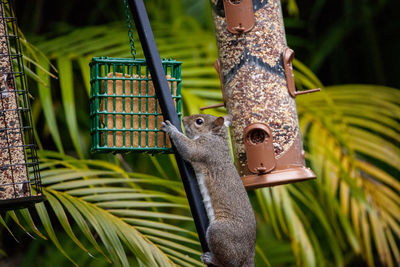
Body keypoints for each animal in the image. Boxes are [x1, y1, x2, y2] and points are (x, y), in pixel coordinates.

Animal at [162, 114, 256, 267]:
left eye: (199, 121)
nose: (183, 119)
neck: (217, 138)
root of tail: (248, 256)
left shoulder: (206, 148)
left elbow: (189, 149)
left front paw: (171, 128)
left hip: (219, 233)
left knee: (230, 262)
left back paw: (211, 259)